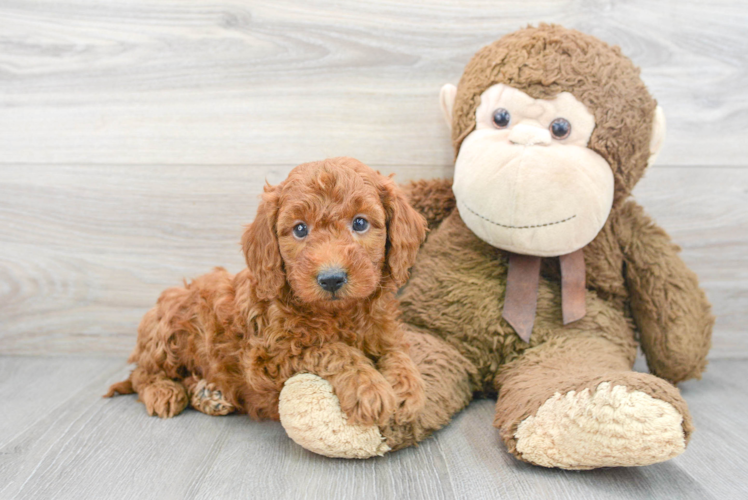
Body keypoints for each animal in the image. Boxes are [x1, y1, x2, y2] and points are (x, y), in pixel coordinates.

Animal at [108, 156, 430, 426]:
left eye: (360, 223)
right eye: (300, 229)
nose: (331, 279)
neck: (338, 314)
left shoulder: (385, 332)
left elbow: (397, 353)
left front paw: (407, 390)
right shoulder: (271, 357)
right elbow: (332, 350)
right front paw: (369, 387)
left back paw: (208, 395)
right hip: (167, 329)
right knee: (141, 374)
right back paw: (164, 392)